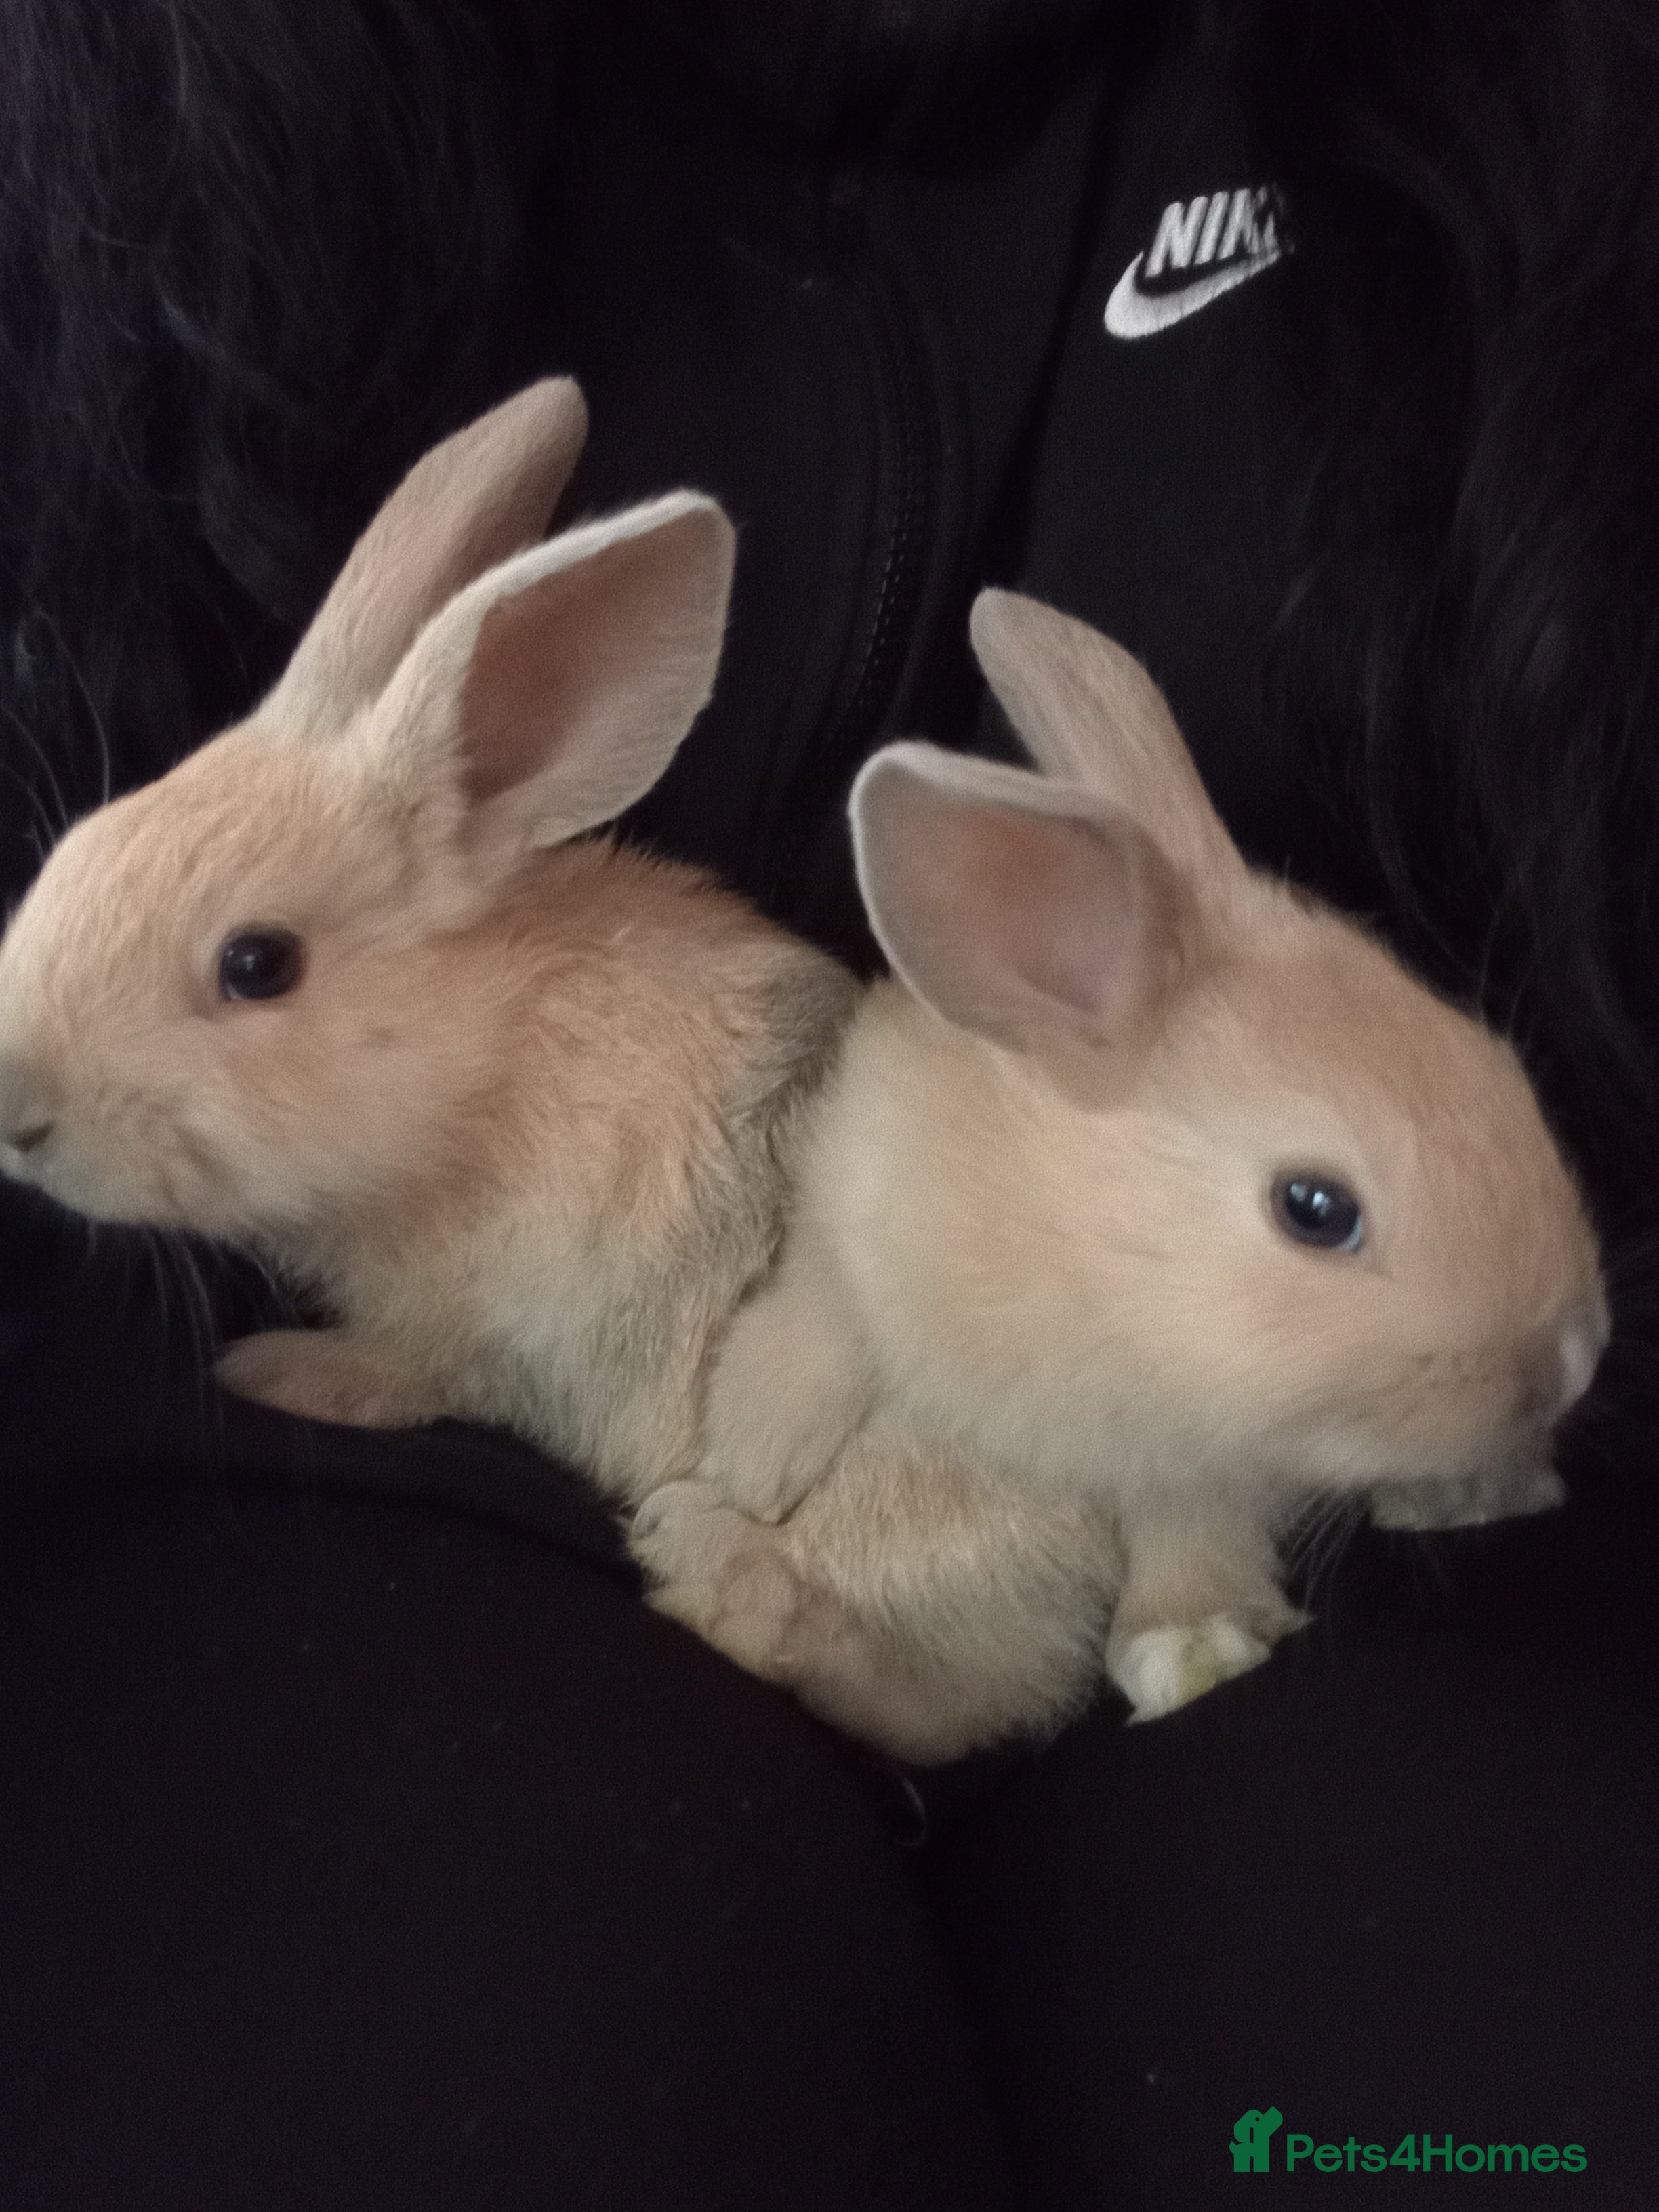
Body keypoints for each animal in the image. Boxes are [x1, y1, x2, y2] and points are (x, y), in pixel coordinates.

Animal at [0, 378, 856, 1505]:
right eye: (79, 844)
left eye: (256, 963)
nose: (17, 1112)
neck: (489, 1072)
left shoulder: (499, 1329)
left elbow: (414, 1373)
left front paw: (279, 1370)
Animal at [633, 588, 1610, 1760]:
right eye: (1315, 1208)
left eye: (1508, 1072)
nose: (1574, 1361)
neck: (1099, 1262)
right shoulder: (852, 1219)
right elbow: (819, 1326)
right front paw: (751, 1462)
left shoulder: (1211, 1467)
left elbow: (1194, 1541)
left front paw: (1193, 1650)